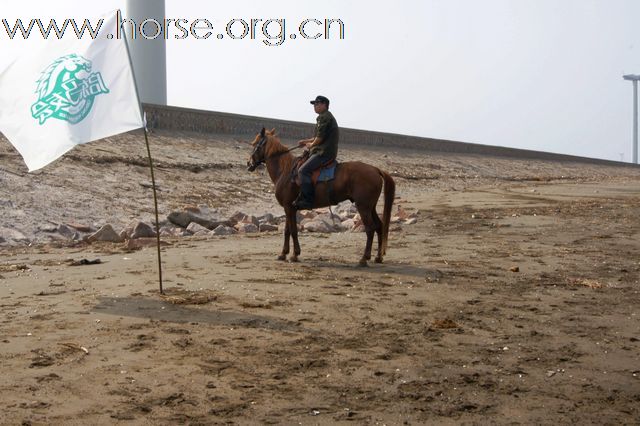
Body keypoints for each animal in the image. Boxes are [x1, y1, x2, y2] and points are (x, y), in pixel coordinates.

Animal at [246, 127, 392, 266]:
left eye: (255, 144)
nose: (249, 163)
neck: (285, 172)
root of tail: (375, 169)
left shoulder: (289, 207)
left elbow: (293, 230)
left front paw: (295, 255)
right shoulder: (289, 208)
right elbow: (287, 230)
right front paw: (283, 254)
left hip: (363, 207)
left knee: (370, 229)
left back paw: (364, 259)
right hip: (370, 207)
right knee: (379, 226)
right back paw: (378, 257)